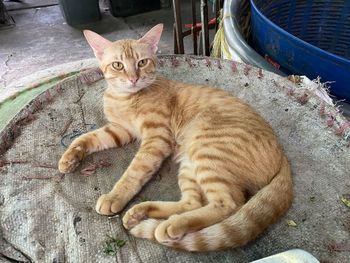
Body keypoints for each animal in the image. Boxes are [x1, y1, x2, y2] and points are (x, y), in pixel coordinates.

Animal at [58, 24, 292, 252]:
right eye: (118, 65)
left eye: (142, 62)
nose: (133, 79)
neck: (125, 98)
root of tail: (283, 156)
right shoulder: (119, 131)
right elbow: (85, 138)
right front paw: (70, 158)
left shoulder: (156, 138)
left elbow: (134, 172)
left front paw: (115, 196)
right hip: (191, 164)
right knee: (193, 202)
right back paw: (144, 212)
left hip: (207, 151)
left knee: (229, 204)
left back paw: (172, 224)